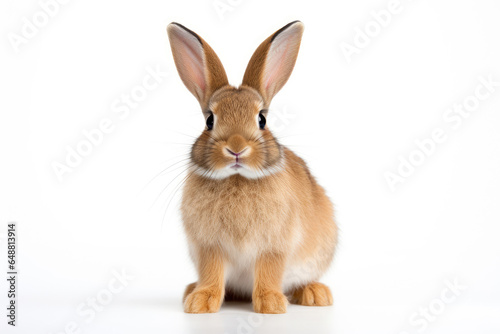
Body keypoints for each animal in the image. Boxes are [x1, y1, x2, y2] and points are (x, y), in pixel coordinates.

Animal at [166, 20, 338, 314]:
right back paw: (192, 290)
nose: (236, 147)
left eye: (261, 119)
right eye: (209, 121)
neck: (238, 178)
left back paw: (315, 294)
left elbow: (269, 270)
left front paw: (271, 304)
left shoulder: (274, 246)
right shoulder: (209, 246)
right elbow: (212, 271)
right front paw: (201, 302)